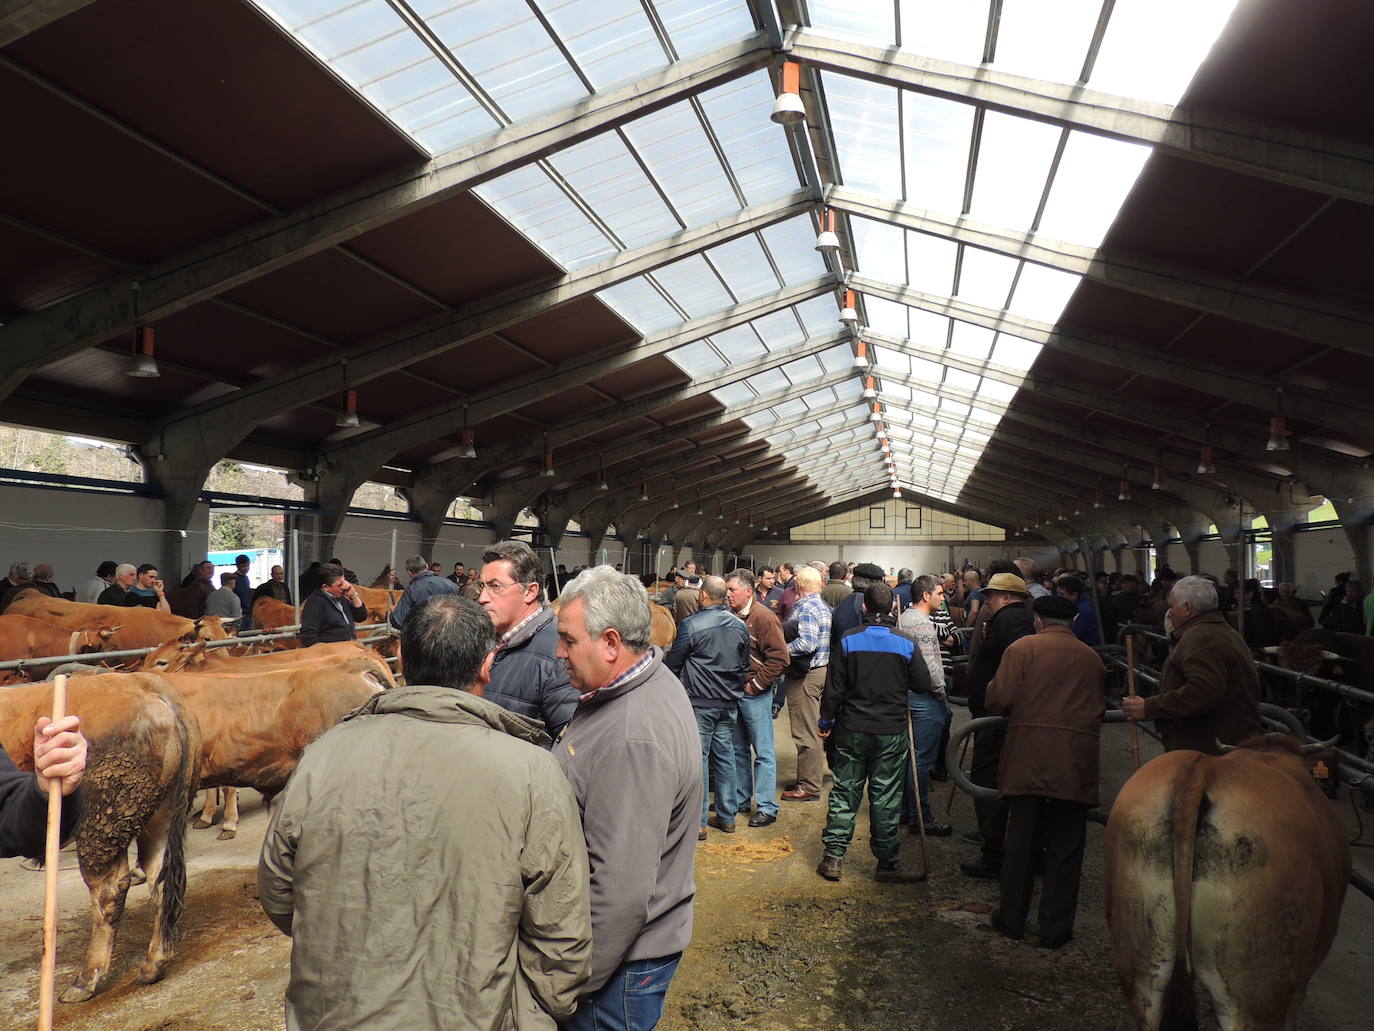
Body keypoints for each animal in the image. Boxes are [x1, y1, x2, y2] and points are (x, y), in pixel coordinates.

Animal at [0, 673, 200, 1006]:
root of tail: (140, 681)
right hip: (160, 816)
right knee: (160, 879)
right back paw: (152, 965)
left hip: (100, 824)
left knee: (109, 890)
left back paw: (85, 981)